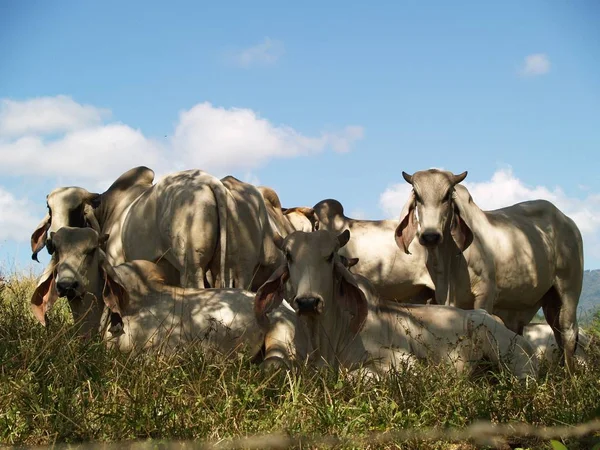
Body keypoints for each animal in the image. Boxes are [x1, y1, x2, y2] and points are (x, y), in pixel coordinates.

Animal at [254, 230, 540, 382]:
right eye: (289, 256)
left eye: (330, 256)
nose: (308, 302)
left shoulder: (404, 362)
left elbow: (351, 376)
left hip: (509, 356)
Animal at [396, 169, 584, 372]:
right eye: (417, 196)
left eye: (447, 195)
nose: (430, 236)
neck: (450, 259)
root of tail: (568, 221)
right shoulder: (444, 298)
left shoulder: (485, 293)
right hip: (548, 299)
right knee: (556, 332)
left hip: (569, 289)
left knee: (568, 332)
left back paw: (570, 375)